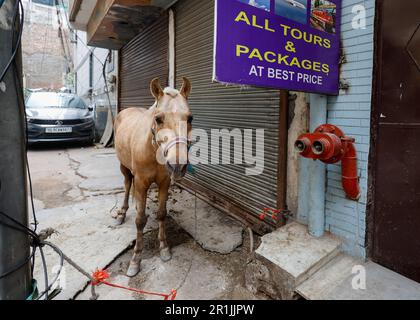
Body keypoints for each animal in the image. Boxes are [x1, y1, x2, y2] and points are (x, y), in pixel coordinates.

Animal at [115, 77, 194, 278]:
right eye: (158, 119)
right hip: (124, 167)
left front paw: (164, 248)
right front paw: (135, 260)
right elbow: (140, 221)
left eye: (190, 118)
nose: (178, 165)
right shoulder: (141, 183)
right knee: (127, 185)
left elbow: (161, 214)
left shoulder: (164, 183)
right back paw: (121, 213)